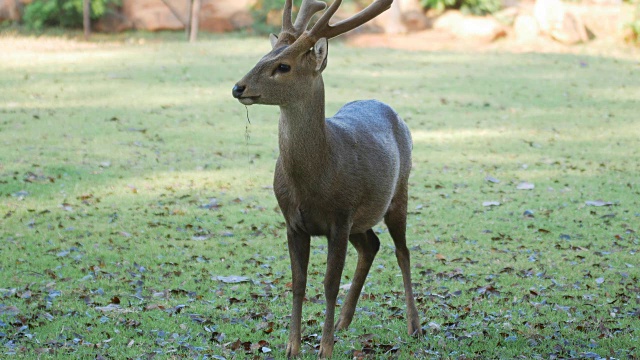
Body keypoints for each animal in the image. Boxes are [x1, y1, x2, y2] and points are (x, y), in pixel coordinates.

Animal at [232, 0, 422, 358]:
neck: (314, 181)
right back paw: (344, 322)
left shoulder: (340, 217)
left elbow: (330, 284)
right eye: (262, 57)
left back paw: (414, 327)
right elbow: (299, 282)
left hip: (398, 192)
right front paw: (293, 346)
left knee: (402, 251)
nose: (238, 87)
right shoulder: (293, 221)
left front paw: (325, 348)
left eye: (283, 66)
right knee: (372, 246)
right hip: (361, 219)